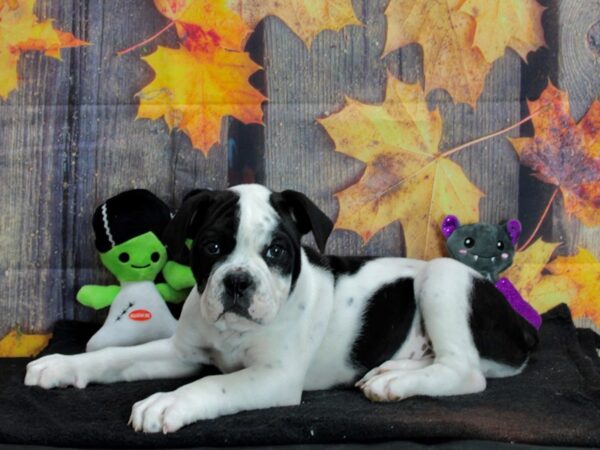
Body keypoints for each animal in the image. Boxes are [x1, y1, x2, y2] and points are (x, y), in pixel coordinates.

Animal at [24, 183, 540, 432]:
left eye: (276, 252)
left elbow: (212, 384)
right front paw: (61, 364)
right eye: (212, 246)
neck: (236, 331)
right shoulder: (179, 353)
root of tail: (521, 326)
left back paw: (394, 383)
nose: (238, 281)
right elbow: (116, 356)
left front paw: (167, 402)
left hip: (443, 278)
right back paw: (391, 370)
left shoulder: (273, 377)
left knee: (464, 371)